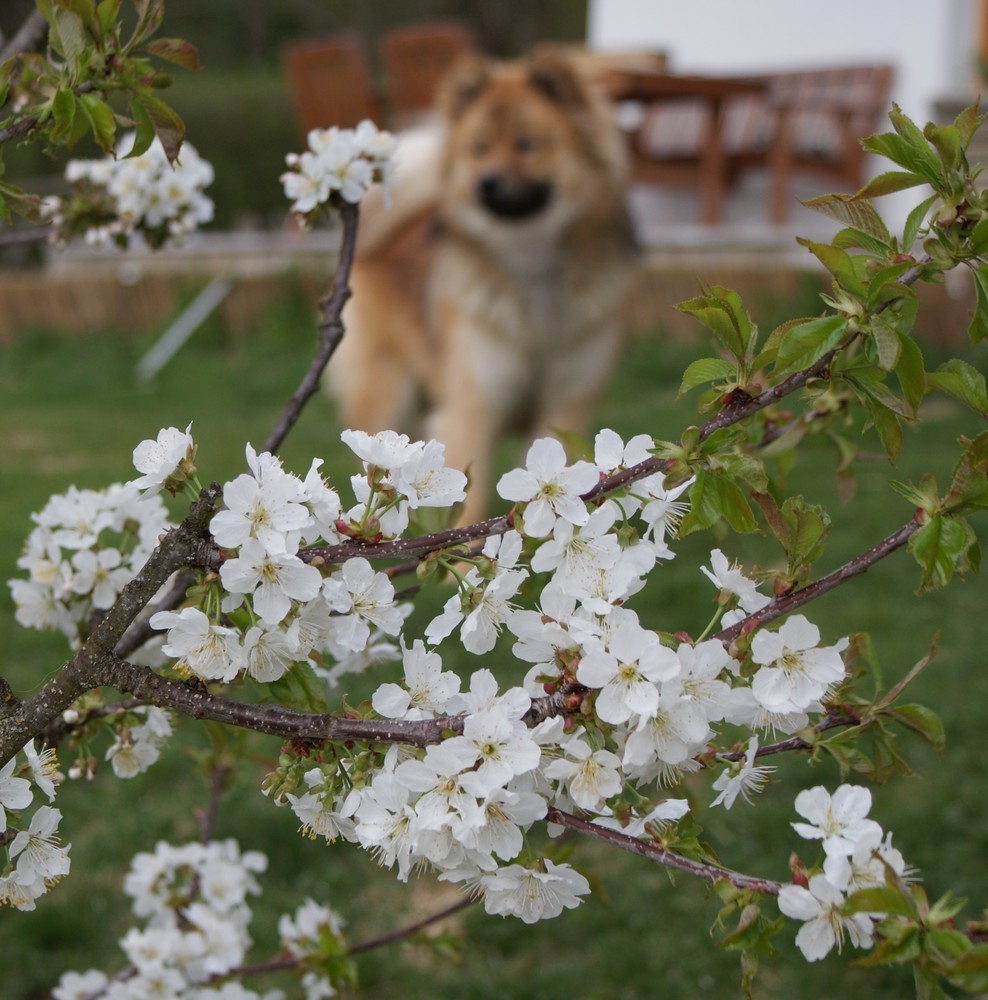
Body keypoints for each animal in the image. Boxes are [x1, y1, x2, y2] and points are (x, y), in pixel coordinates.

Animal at [330, 45, 640, 524]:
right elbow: (467, 503)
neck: (534, 280)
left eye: (527, 145)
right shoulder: (473, 406)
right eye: (479, 148)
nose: (486, 183)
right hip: (387, 390)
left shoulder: (564, 402)